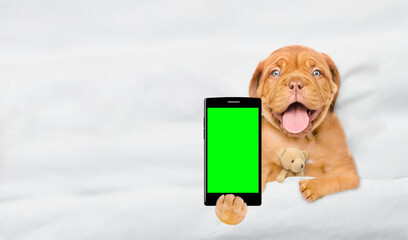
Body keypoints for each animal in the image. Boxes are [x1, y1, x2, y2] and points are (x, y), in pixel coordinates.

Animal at [215, 45, 358, 225]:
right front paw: (230, 207)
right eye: (275, 73)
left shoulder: (346, 171)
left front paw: (312, 187)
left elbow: (335, 179)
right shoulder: (264, 164)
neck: (299, 139)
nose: (295, 83)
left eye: (316, 73)